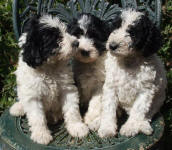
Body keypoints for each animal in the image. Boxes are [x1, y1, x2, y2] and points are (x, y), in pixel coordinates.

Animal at [9, 14, 88, 144]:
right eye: (56, 38)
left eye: (65, 30)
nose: (76, 43)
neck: (49, 66)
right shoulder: (33, 95)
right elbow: (37, 117)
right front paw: (41, 135)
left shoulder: (67, 88)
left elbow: (72, 109)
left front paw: (77, 127)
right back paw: (18, 107)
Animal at [98, 9, 167, 138]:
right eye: (115, 27)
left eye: (133, 34)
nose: (112, 46)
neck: (128, 61)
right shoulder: (111, 87)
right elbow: (108, 108)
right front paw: (107, 128)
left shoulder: (146, 90)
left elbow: (138, 110)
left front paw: (130, 127)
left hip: (158, 100)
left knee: (147, 114)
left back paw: (144, 126)